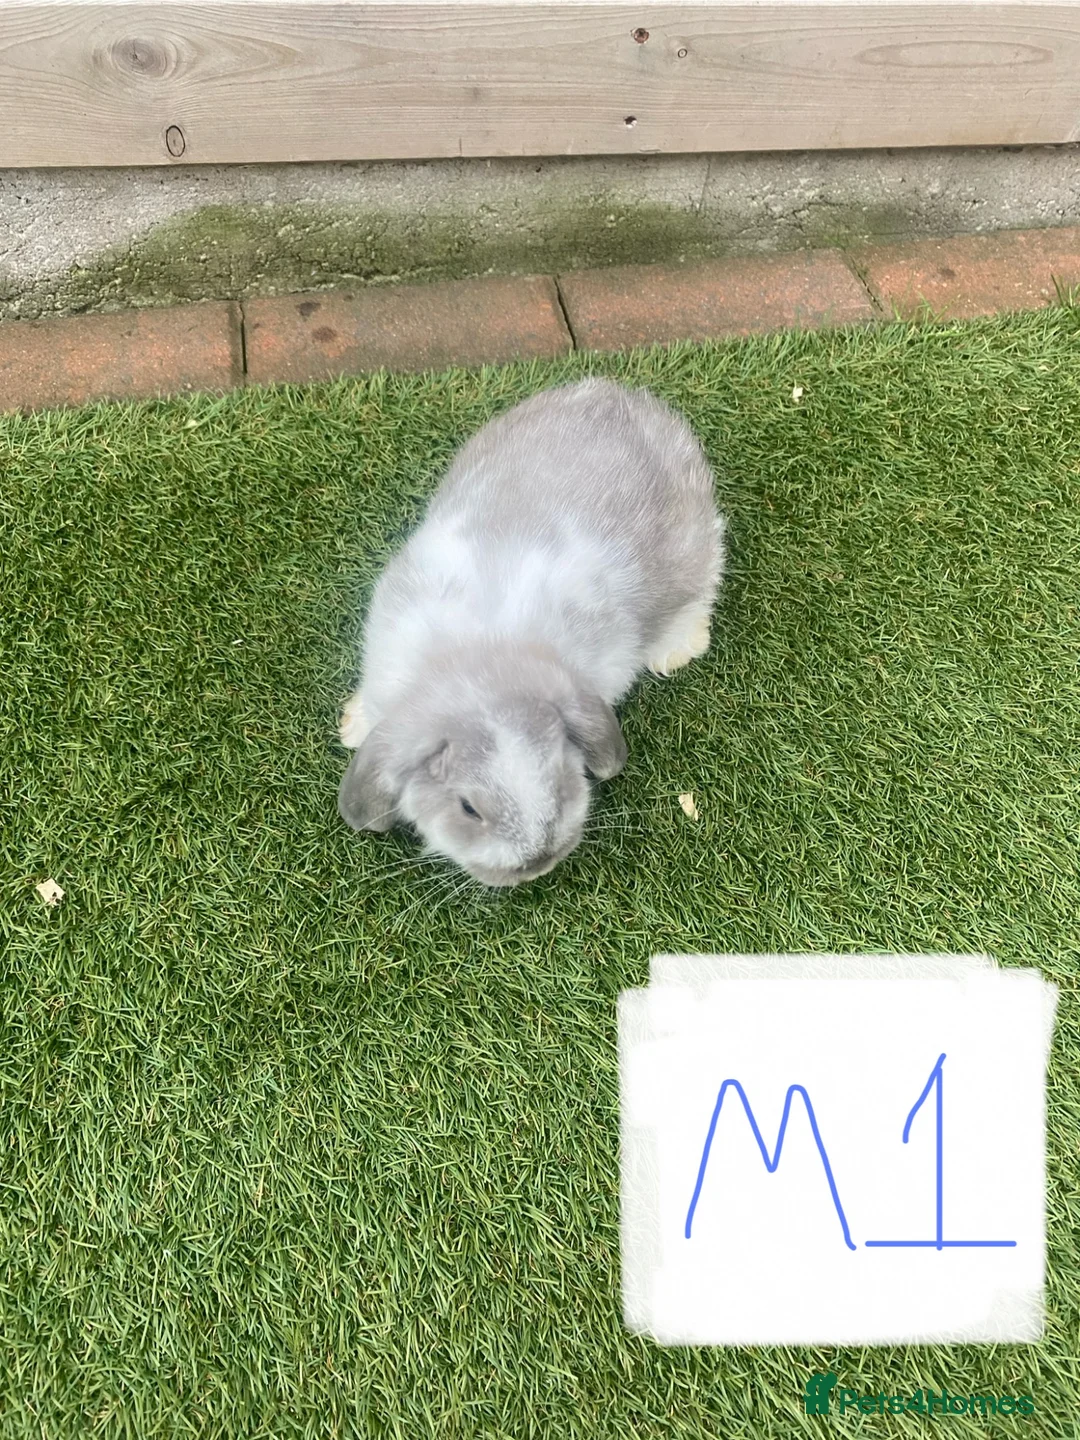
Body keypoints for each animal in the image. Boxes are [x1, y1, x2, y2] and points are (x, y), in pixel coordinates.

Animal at [337, 377, 725, 887]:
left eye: (560, 781)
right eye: (468, 809)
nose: (538, 860)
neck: (477, 667)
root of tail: (626, 397)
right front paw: (352, 728)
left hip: (695, 546)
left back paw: (676, 650)